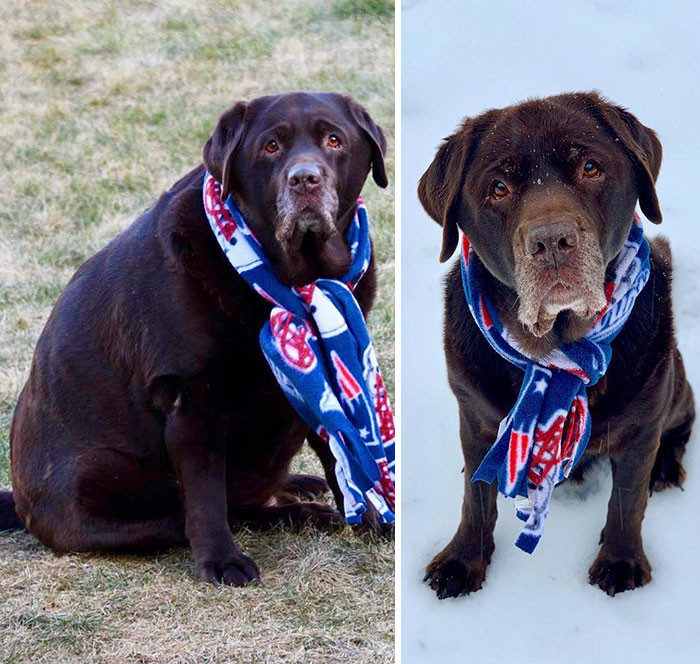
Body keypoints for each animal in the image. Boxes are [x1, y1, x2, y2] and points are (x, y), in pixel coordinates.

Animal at [0, 91, 388, 584]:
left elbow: (336, 450)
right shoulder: (193, 401)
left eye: (333, 140)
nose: (305, 179)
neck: (296, 280)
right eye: (271, 146)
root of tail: (21, 502)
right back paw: (297, 514)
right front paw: (221, 561)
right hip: (100, 481)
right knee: (207, 512)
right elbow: (206, 496)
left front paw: (371, 518)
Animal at [418, 92, 692, 596]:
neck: (554, 354)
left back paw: (665, 468)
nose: (551, 241)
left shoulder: (642, 427)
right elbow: (476, 498)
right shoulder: (475, 418)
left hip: (674, 382)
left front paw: (621, 561)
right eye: (499, 187)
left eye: (590, 167)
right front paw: (463, 561)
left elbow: (627, 501)